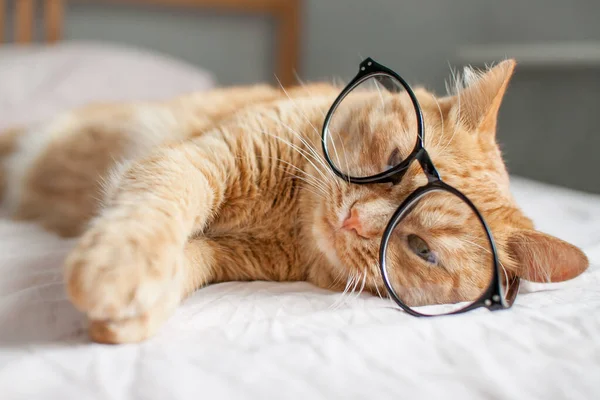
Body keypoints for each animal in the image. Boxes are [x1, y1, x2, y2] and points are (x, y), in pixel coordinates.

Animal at [0, 60, 588, 344]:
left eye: (422, 250)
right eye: (397, 160)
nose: (353, 221)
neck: (286, 220)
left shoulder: (222, 259)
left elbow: (181, 265)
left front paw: (126, 317)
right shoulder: (198, 159)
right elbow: (153, 211)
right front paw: (117, 268)